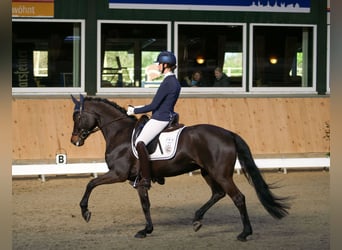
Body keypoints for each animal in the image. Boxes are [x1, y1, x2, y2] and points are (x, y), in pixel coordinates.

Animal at [71, 94, 290, 241]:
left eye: (77, 117)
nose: (74, 141)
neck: (120, 133)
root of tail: (228, 133)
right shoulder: (139, 181)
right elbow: (145, 204)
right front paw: (146, 230)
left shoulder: (117, 174)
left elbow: (91, 183)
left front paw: (85, 212)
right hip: (207, 171)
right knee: (218, 193)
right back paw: (197, 219)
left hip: (221, 174)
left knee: (238, 197)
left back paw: (244, 233)